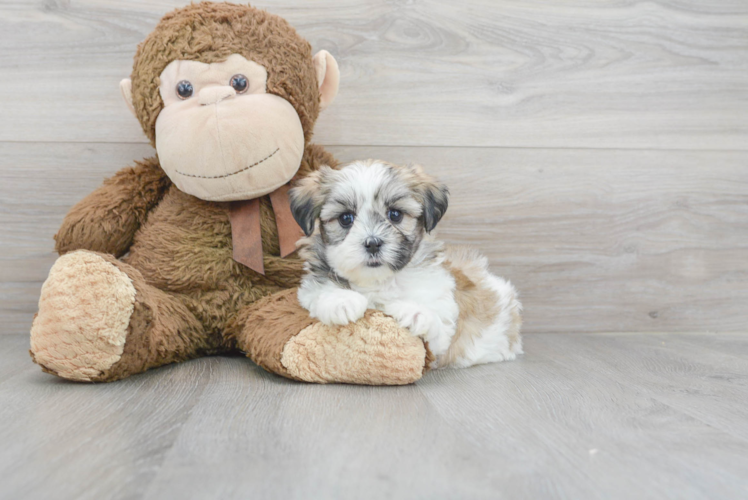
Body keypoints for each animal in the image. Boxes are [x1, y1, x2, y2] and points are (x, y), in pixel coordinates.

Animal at [290, 160, 524, 368]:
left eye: (395, 214)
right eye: (346, 218)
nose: (373, 243)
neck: (379, 281)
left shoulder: (442, 330)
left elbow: (437, 328)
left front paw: (416, 313)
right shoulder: (311, 289)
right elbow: (320, 291)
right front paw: (341, 301)